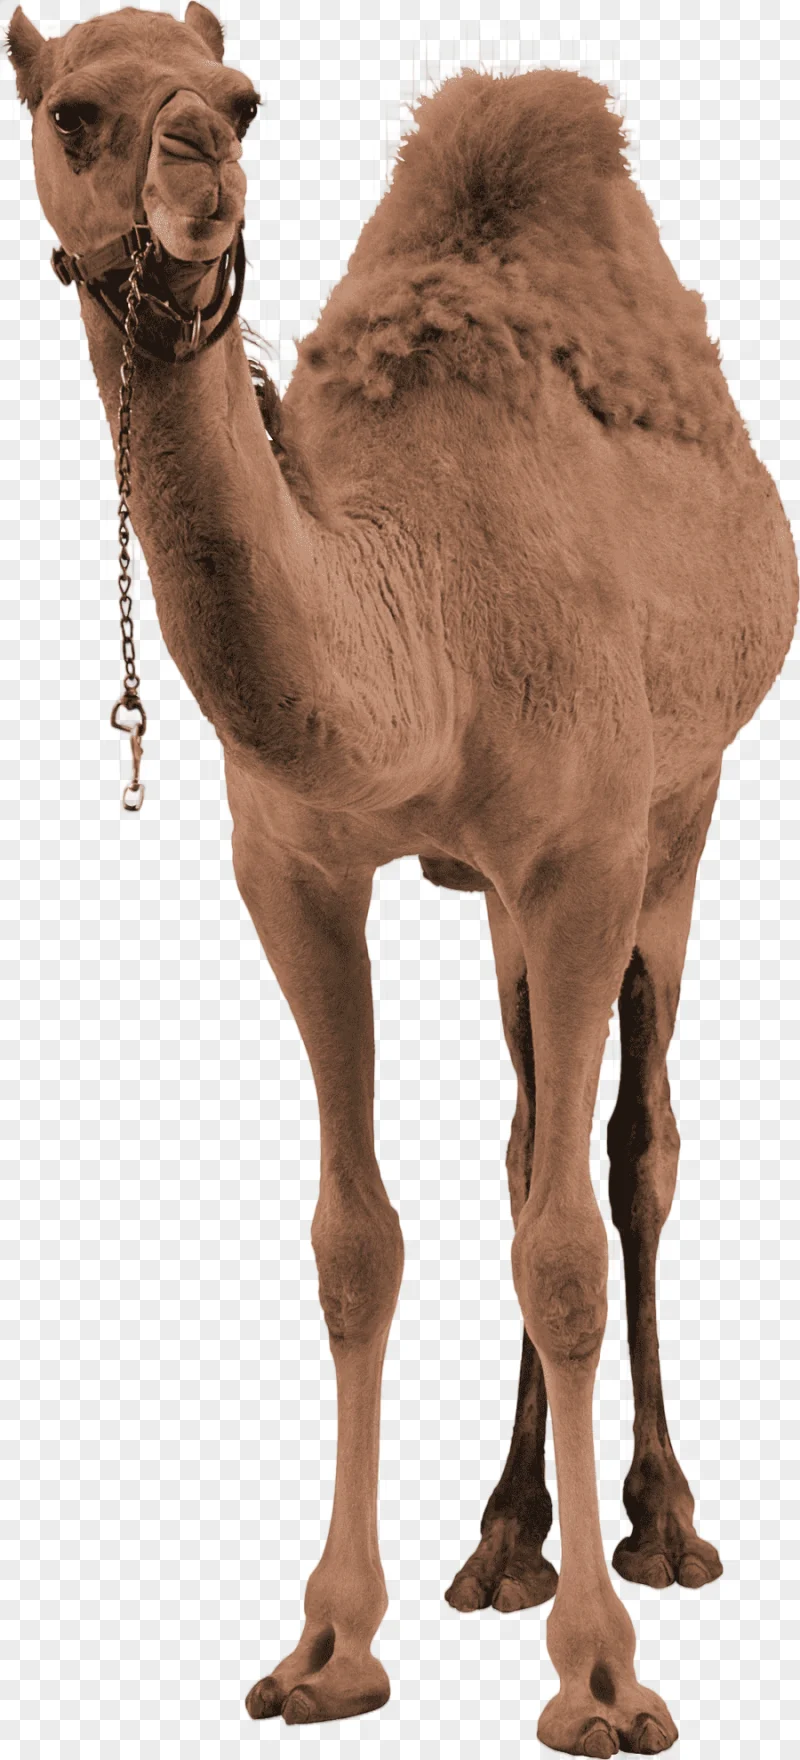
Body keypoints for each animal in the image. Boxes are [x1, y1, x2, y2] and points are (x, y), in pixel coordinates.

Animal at [7, 5, 797, 1753]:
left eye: (241, 100)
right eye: (74, 112)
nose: (197, 169)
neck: (425, 610)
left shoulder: (583, 849)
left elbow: (570, 1244)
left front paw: (602, 1677)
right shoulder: (297, 871)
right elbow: (357, 1239)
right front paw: (327, 1647)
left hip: (683, 808)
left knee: (629, 1149)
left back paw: (660, 1523)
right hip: (503, 895)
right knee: (524, 1140)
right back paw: (502, 1540)